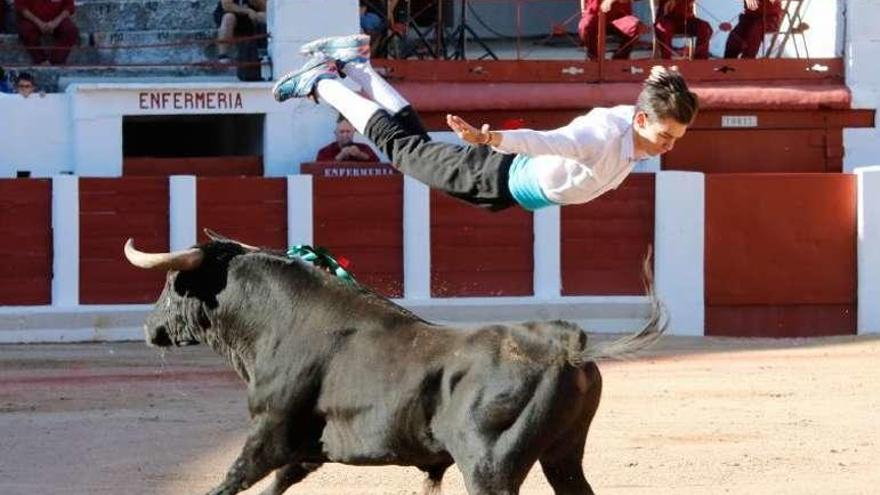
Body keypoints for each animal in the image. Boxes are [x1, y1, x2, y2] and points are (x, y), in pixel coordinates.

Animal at [120, 236, 664, 495]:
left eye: (171, 284)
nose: (148, 327)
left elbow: (229, 482)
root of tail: (563, 344)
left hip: (490, 467)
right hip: (563, 455)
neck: (277, 322)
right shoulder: (303, 451)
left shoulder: (268, 432)